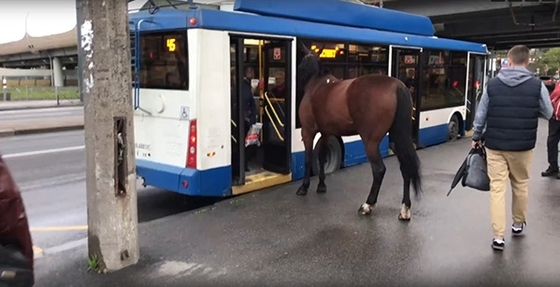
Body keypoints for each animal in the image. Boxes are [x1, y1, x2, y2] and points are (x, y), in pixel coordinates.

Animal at [296, 44, 422, 222]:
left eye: (301, 63)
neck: (318, 85)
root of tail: (398, 86)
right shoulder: (326, 132)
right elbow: (321, 157)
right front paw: (321, 185)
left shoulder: (308, 131)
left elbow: (308, 159)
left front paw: (304, 186)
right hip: (397, 139)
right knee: (405, 167)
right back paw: (405, 209)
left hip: (370, 142)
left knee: (379, 170)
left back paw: (368, 205)